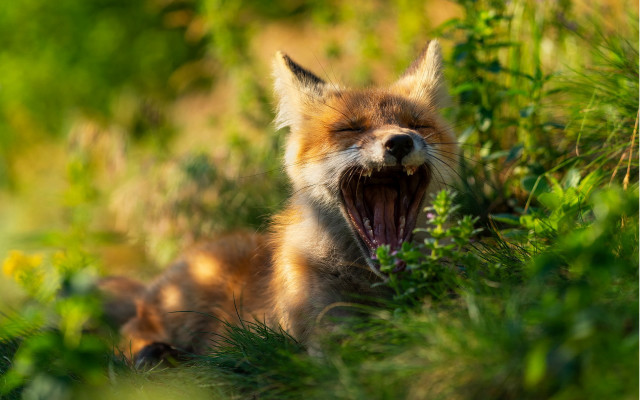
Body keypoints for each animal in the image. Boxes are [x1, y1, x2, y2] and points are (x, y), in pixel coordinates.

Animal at [102, 40, 458, 366]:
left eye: (417, 125)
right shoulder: (322, 333)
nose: (400, 141)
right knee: (127, 338)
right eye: (349, 128)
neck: (375, 287)